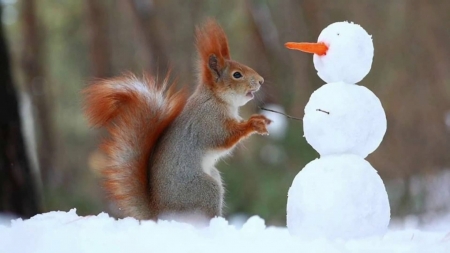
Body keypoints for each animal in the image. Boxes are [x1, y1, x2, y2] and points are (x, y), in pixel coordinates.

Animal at [83, 18, 272, 222]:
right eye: (237, 74)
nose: (261, 81)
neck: (216, 99)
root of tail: (160, 214)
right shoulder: (208, 121)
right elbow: (224, 138)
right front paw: (254, 123)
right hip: (204, 190)